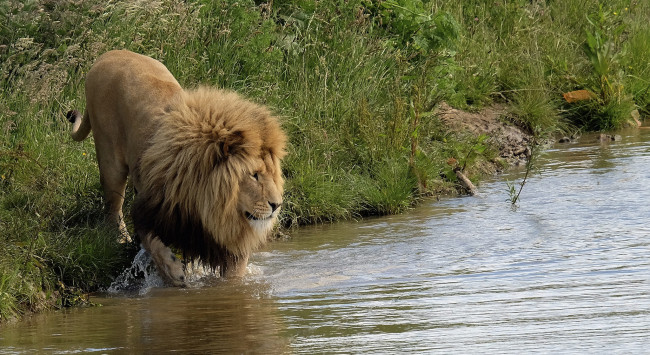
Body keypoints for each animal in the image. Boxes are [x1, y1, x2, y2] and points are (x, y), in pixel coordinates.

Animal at [67, 50, 286, 288]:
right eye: (254, 176)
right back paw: (120, 238)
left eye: (273, 176)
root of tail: (109, 53)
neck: (210, 206)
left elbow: (234, 276)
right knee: (113, 208)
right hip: (110, 162)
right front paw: (174, 274)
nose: (276, 205)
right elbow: (153, 244)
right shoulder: (151, 208)